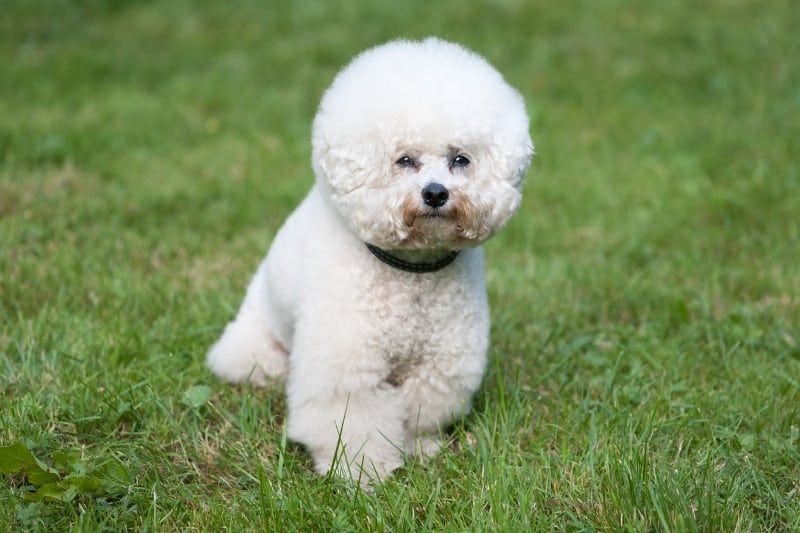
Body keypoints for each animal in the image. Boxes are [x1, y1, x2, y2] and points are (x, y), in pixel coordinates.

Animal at [208, 37, 532, 482]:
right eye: (405, 160)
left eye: (460, 160)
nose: (435, 193)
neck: (412, 270)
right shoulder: (347, 363)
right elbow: (353, 420)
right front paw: (361, 472)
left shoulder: (442, 360)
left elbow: (420, 410)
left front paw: (419, 448)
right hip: (256, 345)